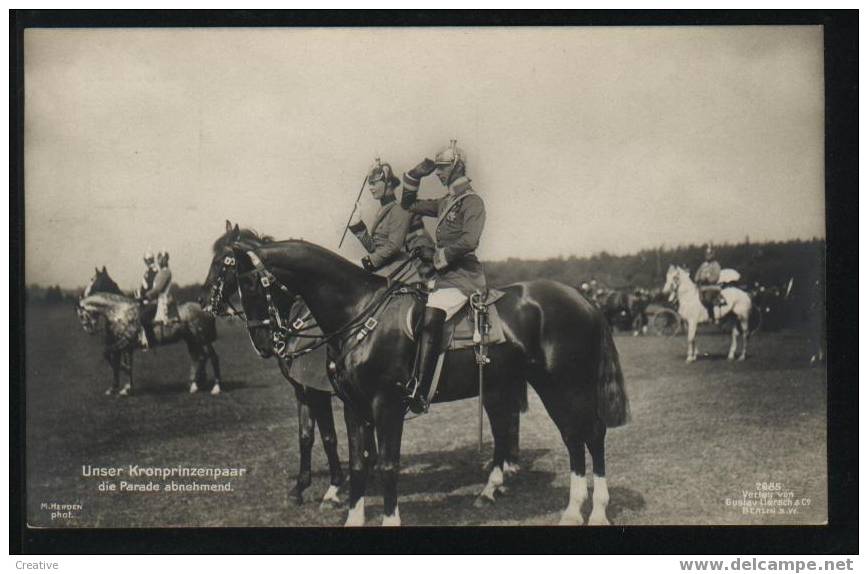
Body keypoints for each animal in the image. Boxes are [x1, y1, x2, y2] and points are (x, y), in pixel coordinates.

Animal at [204, 226, 628, 528]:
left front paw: (385, 517)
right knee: (564, 437)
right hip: (531, 385)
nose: (263, 340)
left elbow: (386, 464)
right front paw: (350, 513)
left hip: (566, 386)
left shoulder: (385, 405)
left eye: (239, 278)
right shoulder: (353, 406)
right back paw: (556, 505)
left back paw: (593, 511)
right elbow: (357, 461)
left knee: (588, 435)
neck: (357, 312)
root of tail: (584, 299)